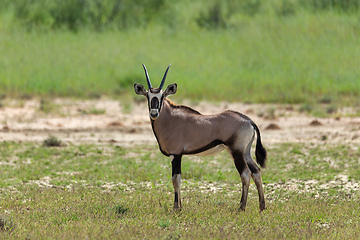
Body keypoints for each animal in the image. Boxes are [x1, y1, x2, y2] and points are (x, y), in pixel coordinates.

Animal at [134, 64, 268, 211]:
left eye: (162, 96)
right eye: (148, 96)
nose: (154, 113)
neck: (170, 119)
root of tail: (249, 121)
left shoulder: (176, 155)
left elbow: (176, 179)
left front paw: (176, 208)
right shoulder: (177, 156)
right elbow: (178, 179)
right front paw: (180, 206)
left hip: (236, 151)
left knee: (245, 174)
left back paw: (241, 207)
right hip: (246, 152)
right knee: (256, 171)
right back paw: (262, 206)